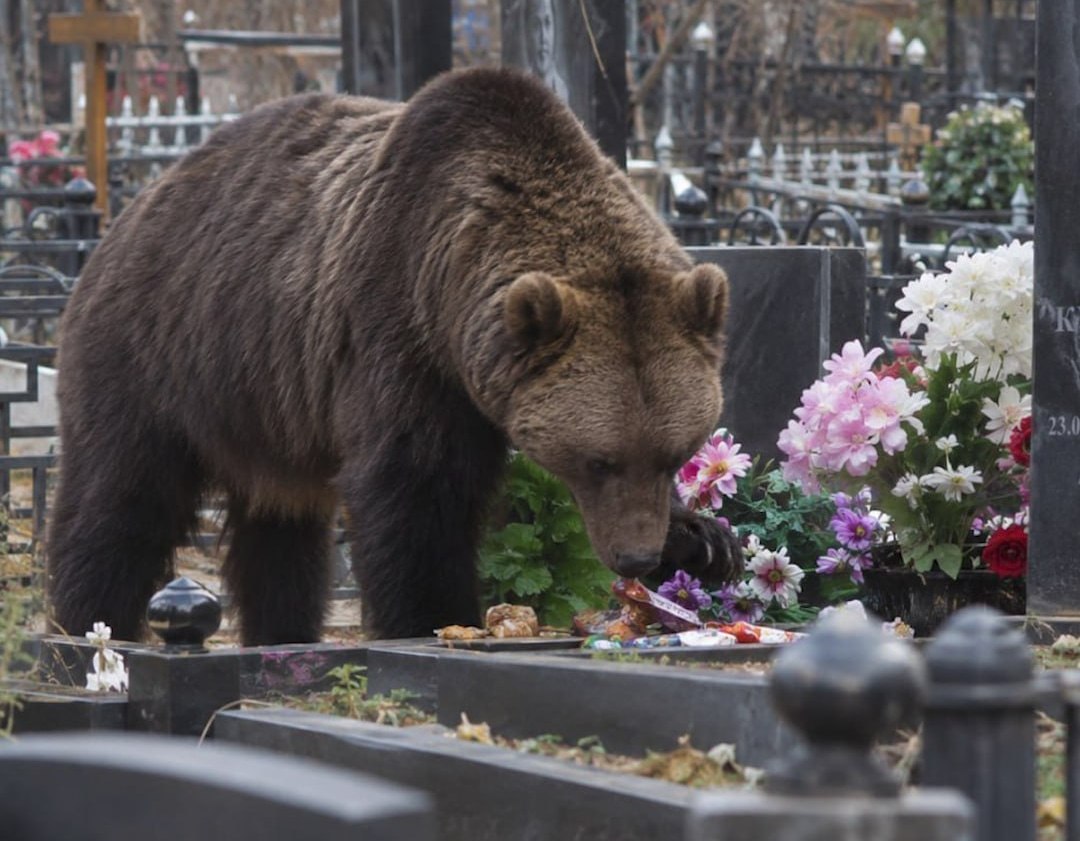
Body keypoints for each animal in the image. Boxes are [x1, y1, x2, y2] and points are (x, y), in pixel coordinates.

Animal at [46, 67, 742, 645]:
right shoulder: (396, 325)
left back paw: (282, 633)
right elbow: (415, 486)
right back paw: (83, 630)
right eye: (598, 460)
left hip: (267, 408)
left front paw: (704, 541)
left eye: (674, 452)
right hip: (156, 354)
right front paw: (436, 615)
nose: (635, 557)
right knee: (121, 500)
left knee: (281, 533)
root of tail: (125, 215)